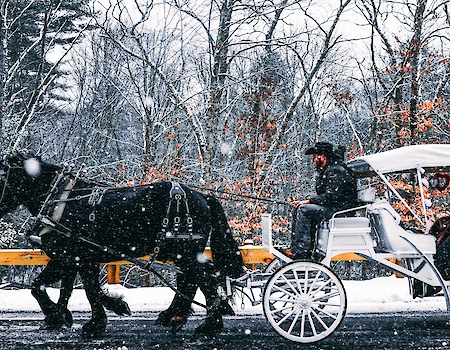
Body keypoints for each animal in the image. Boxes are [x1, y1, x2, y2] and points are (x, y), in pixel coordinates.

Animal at [0, 154, 243, 338]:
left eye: (3, 176)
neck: (60, 200)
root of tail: (204, 197)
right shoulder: (67, 258)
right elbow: (50, 287)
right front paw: (60, 316)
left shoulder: (82, 257)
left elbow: (88, 290)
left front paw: (94, 324)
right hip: (181, 253)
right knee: (191, 280)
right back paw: (175, 316)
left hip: (186, 252)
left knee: (204, 280)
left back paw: (208, 326)